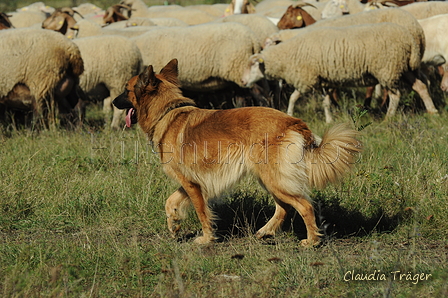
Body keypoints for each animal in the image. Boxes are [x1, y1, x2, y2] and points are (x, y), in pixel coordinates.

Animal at [114, 58, 362, 247]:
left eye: (126, 89)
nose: (114, 102)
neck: (167, 112)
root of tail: (294, 122)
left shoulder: (192, 184)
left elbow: (202, 212)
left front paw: (206, 239)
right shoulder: (191, 182)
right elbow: (170, 202)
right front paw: (174, 225)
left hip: (273, 178)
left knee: (304, 206)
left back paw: (311, 241)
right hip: (270, 178)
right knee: (284, 207)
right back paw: (265, 231)